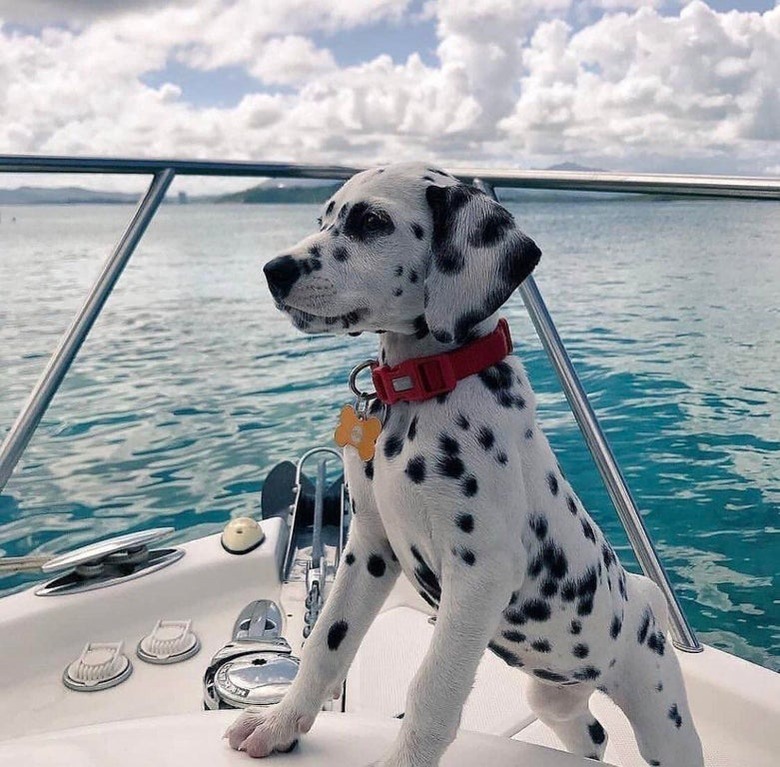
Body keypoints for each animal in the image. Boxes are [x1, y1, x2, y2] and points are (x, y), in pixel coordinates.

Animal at [222, 164, 704, 767]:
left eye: (372, 222)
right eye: (324, 218)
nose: (273, 271)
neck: (425, 386)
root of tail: (644, 600)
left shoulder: (479, 574)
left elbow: (432, 689)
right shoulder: (370, 548)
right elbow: (326, 642)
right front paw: (280, 722)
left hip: (661, 712)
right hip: (554, 699)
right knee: (590, 734)